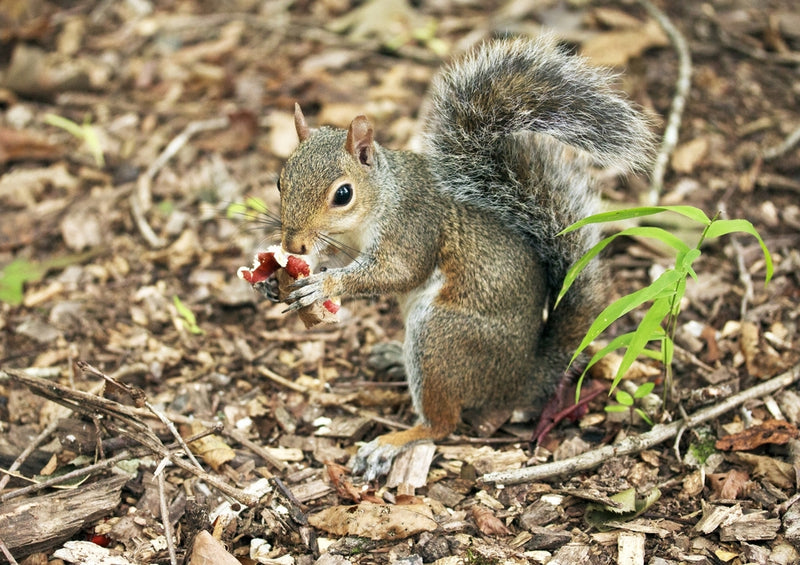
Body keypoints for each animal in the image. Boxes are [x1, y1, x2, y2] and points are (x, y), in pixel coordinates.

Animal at [272, 35, 652, 478]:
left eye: (343, 194)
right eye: (280, 181)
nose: (293, 245)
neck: (382, 198)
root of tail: (521, 377)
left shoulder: (414, 227)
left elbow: (397, 272)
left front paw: (324, 283)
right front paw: (280, 278)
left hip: (441, 337)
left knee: (442, 424)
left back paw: (391, 443)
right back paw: (392, 356)